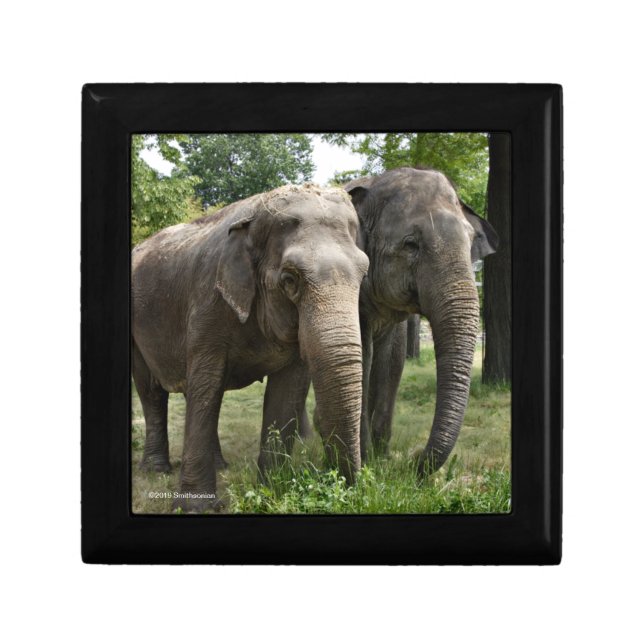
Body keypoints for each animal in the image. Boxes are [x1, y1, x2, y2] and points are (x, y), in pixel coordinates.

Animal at [131, 184, 369, 512]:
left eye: (364, 275)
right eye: (289, 279)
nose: (338, 484)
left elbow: (287, 391)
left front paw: (273, 492)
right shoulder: (209, 302)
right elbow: (207, 381)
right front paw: (195, 507)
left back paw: (220, 465)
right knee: (154, 391)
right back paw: (156, 470)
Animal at [258, 167, 498, 478]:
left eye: (470, 244)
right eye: (411, 245)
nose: (414, 461)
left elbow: (392, 361)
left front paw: (382, 458)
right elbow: (362, 357)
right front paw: (365, 463)